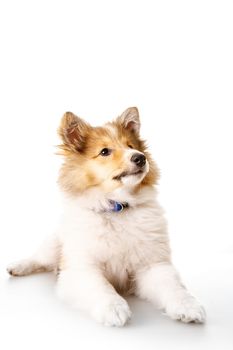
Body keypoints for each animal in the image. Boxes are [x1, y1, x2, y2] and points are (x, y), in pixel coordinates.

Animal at [6, 108, 206, 326]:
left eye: (131, 146)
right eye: (104, 152)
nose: (140, 157)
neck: (117, 208)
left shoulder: (152, 264)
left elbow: (173, 286)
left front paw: (188, 307)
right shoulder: (82, 267)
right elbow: (102, 287)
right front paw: (114, 309)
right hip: (55, 244)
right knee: (38, 258)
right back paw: (17, 267)